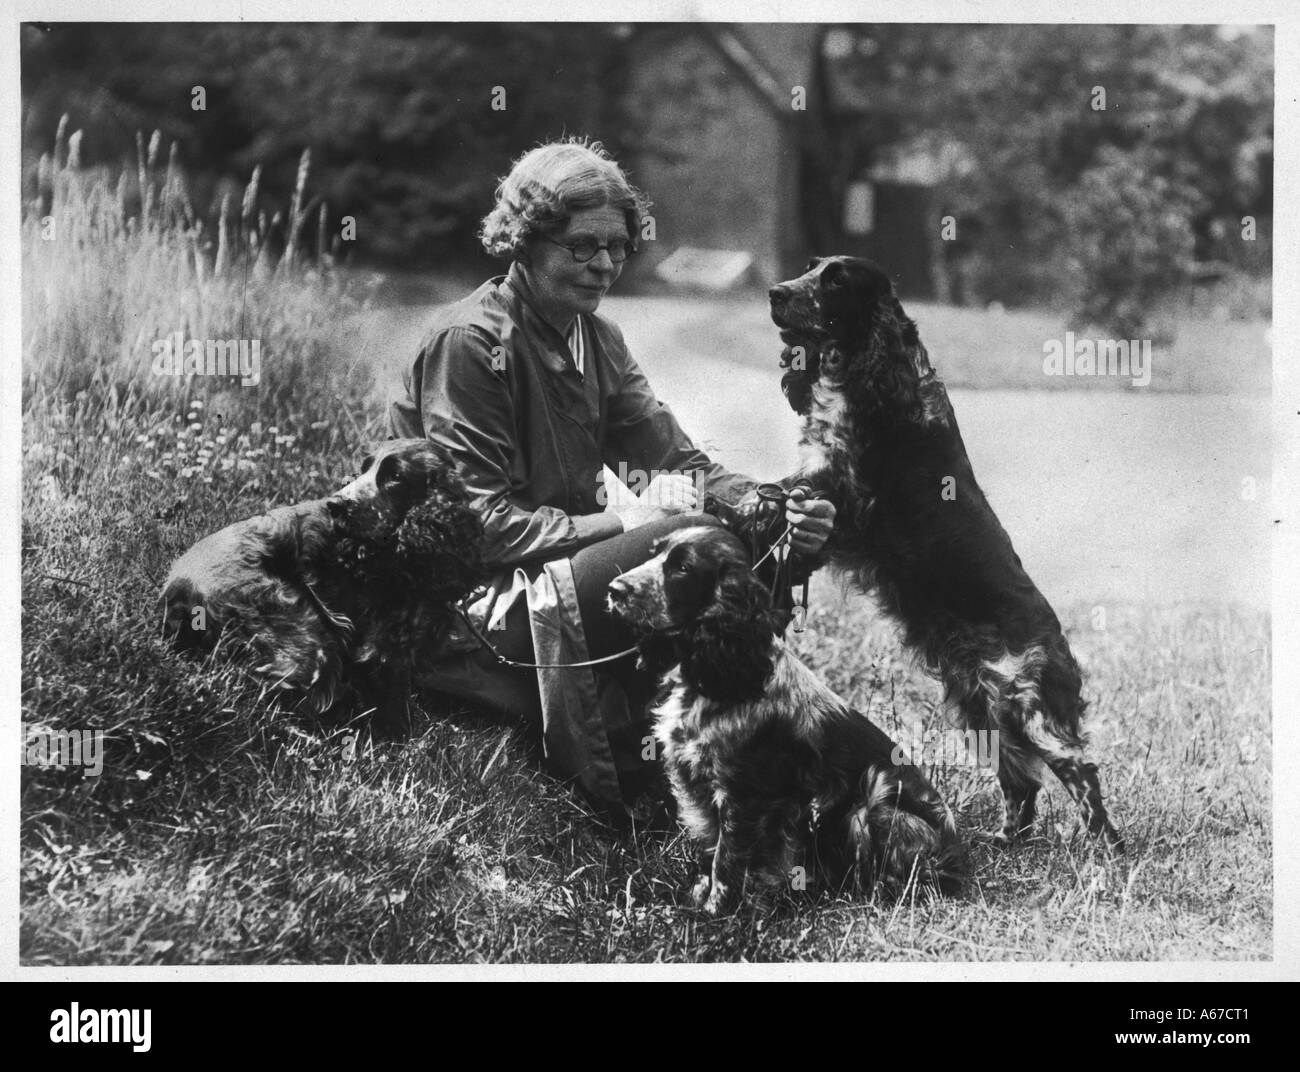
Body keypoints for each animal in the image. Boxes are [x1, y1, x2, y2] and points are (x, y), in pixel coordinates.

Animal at [161, 436, 483, 727]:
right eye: (364, 468)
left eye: (396, 476)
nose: (336, 504)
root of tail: (178, 590)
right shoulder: (384, 649)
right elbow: (395, 714)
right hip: (306, 633)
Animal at [608, 522, 967, 914]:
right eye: (653, 554)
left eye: (683, 568)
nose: (614, 590)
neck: (724, 676)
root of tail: (959, 857)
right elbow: (711, 845)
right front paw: (702, 894)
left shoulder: (744, 796)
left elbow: (727, 859)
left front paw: (717, 911)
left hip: (874, 801)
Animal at [754, 257, 1128, 852]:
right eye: (810, 267)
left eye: (835, 280)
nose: (775, 292)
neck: (865, 374)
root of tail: (1059, 643)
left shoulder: (846, 489)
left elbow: (786, 493)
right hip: (981, 704)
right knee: (1020, 780)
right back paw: (1005, 841)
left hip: (1025, 703)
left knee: (1079, 770)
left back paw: (1105, 850)